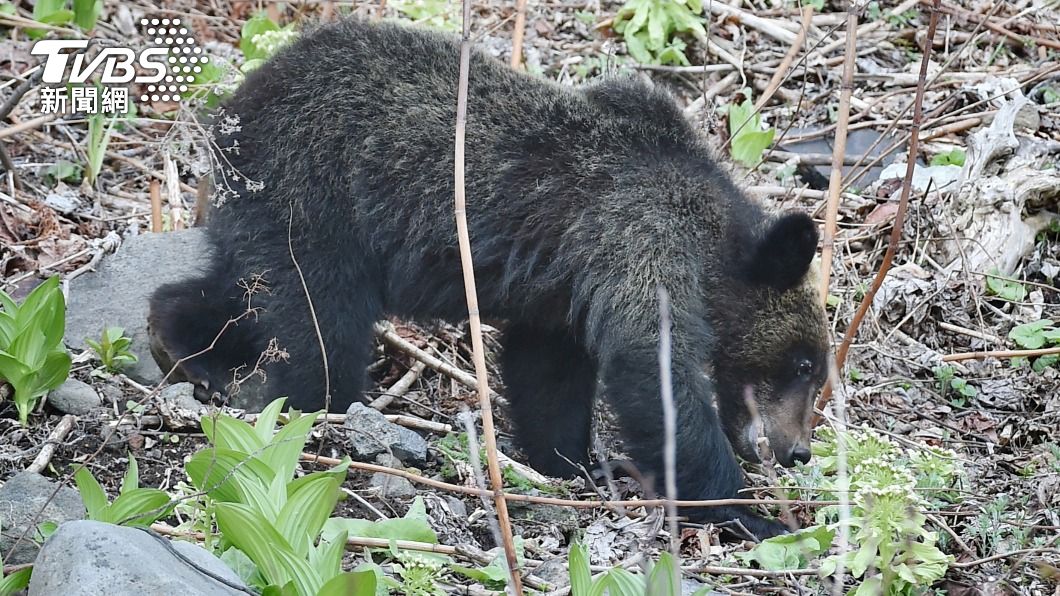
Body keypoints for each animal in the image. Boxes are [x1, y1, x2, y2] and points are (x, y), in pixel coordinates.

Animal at [148, 19, 830, 539]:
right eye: (804, 365)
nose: (799, 449)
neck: (712, 236)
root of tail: (236, 104)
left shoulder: (562, 294)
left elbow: (549, 374)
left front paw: (572, 461)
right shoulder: (640, 235)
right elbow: (654, 369)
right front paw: (749, 512)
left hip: (274, 211)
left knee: (249, 291)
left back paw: (184, 346)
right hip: (316, 198)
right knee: (322, 330)